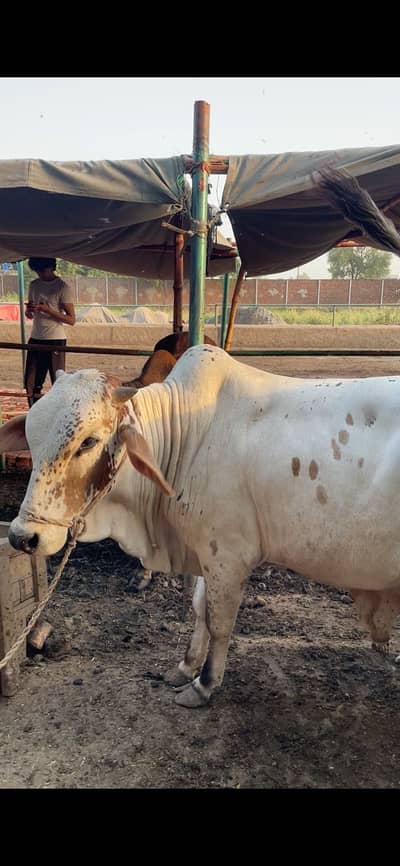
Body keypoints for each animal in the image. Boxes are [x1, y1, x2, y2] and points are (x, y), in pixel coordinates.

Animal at [2, 345, 400, 708]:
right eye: (32, 436)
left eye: (88, 441)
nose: (24, 537)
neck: (188, 437)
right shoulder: (206, 551)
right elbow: (199, 610)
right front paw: (186, 665)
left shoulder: (228, 555)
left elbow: (219, 620)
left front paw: (204, 684)